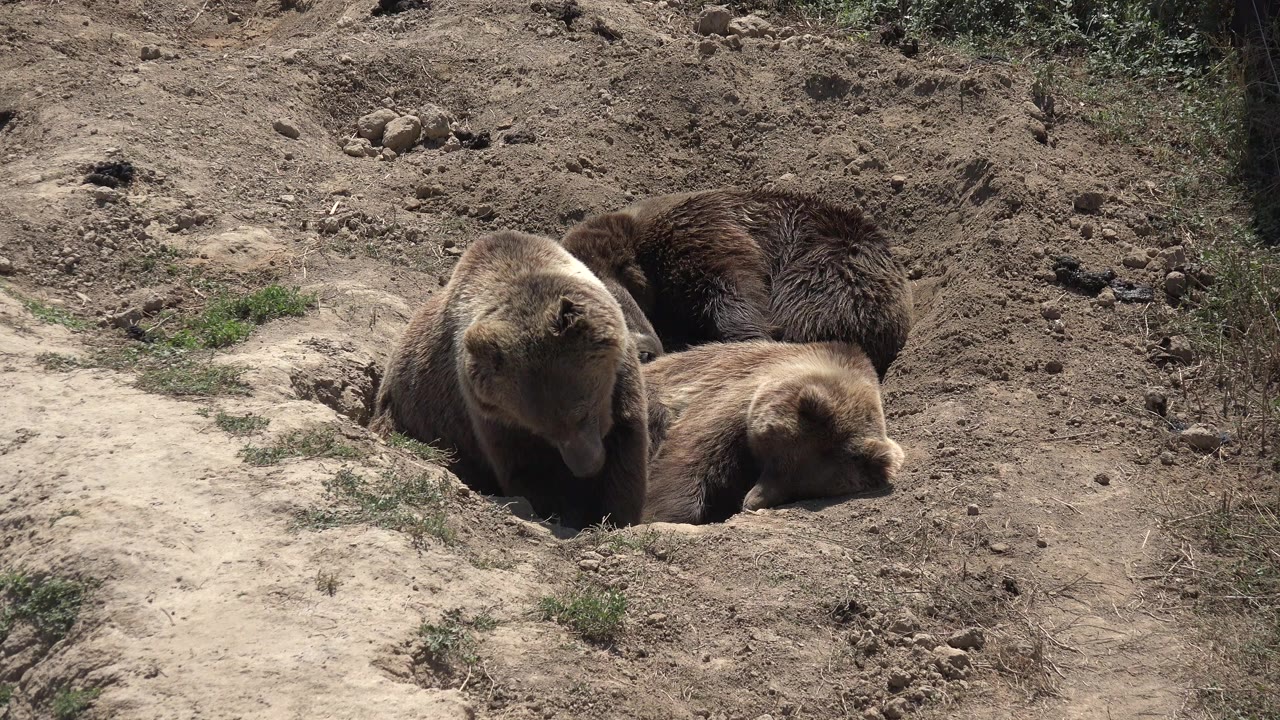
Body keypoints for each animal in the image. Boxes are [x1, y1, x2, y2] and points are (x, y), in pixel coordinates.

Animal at [370, 230, 649, 530]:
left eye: (583, 412)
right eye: (545, 432)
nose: (587, 466)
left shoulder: (622, 382)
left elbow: (627, 459)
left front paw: (613, 515)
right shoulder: (491, 416)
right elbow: (526, 470)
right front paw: (564, 512)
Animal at [641, 340, 904, 525]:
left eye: (801, 491)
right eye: (775, 460)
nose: (750, 503)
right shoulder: (731, 398)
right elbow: (687, 458)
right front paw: (662, 515)